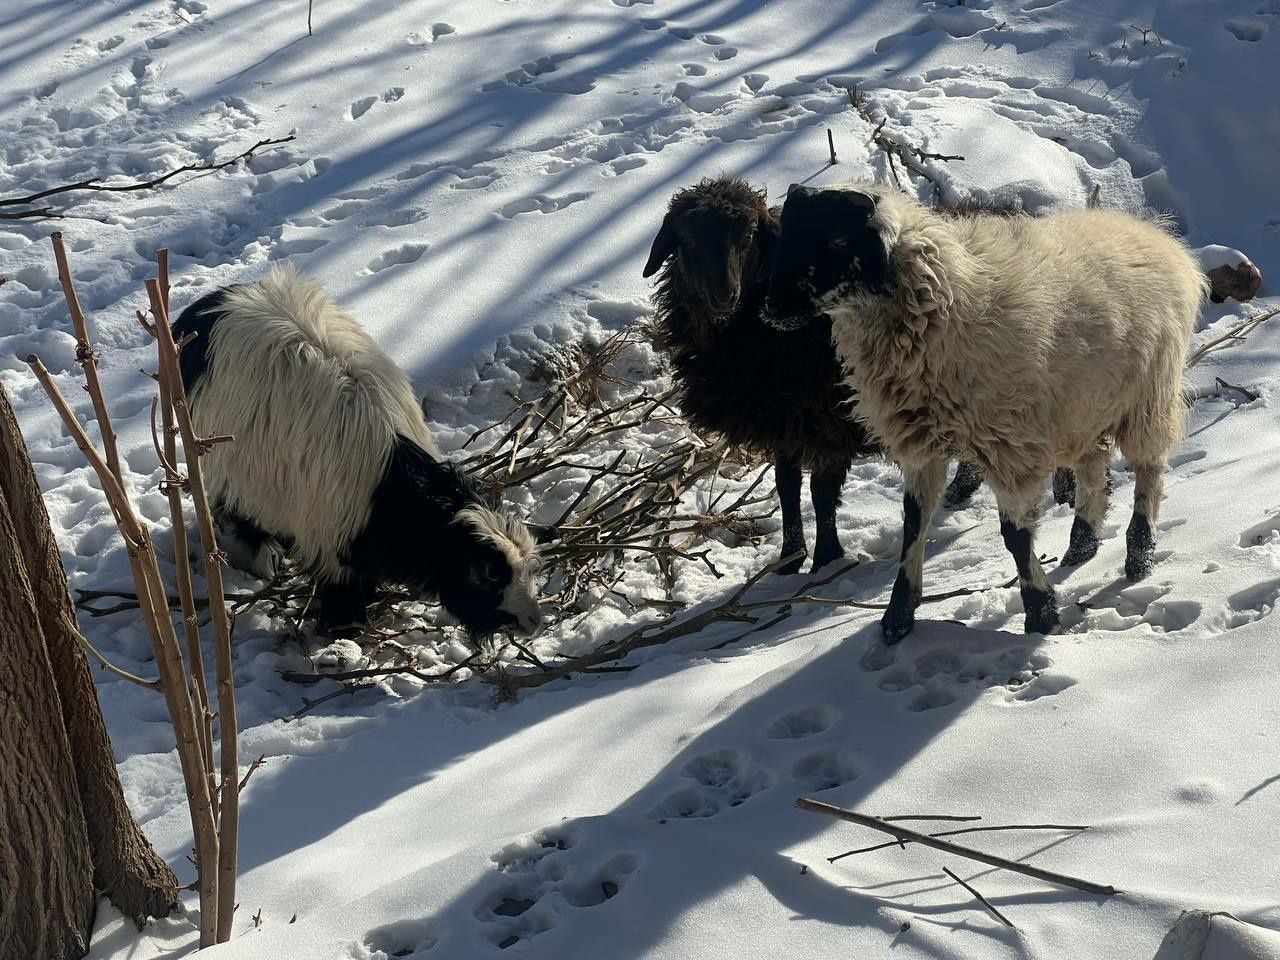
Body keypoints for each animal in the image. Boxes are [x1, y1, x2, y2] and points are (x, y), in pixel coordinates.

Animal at [171, 264, 555, 640]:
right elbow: (340, 586)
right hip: (222, 454)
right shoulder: (328, 529)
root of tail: (205, 306)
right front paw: (345, 629)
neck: (387, 486)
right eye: (487, 574)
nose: (533, 621)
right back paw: (262, 554)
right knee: (233, 504)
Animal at [762, 183, 1203, 642]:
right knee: (1093, 465)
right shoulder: (922, 444)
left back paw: (1139, 553)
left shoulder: (1008, 444)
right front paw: (898, 616)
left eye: (838, 240)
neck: (947, 305)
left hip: (1148, 395)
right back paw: (1082, 543)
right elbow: (913, 525)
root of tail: (1156, 234)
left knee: (1149, 468)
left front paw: (1040, 613)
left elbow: (1014, 535)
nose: (772, 307)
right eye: (788, 232)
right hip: (1082, 406)